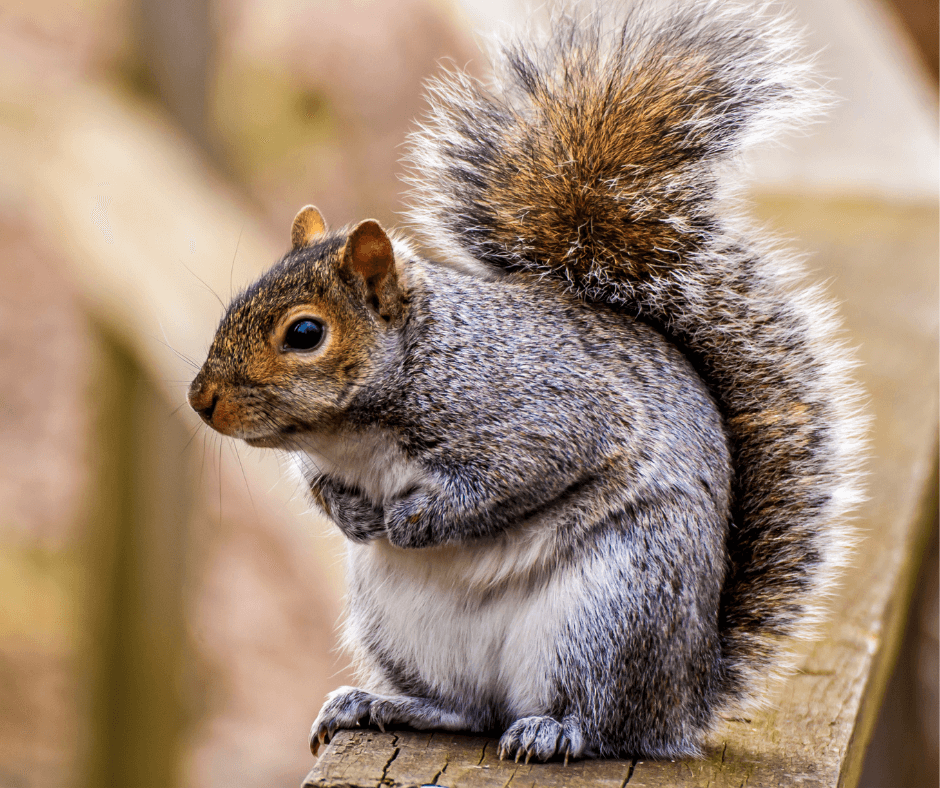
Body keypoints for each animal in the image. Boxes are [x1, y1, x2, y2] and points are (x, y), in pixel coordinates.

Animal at [189, 0, 868, 764]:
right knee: (466, 710)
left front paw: (413, 519)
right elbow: (319, 487)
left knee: (602, 721)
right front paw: (354, 515)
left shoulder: (543, 415)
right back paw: (380, 704)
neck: (360, 428)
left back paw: (553, 728)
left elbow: (512, 478)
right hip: (403, 626)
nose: (200, 400)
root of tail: (684, 700)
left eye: (305, 333)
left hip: (614, 608)